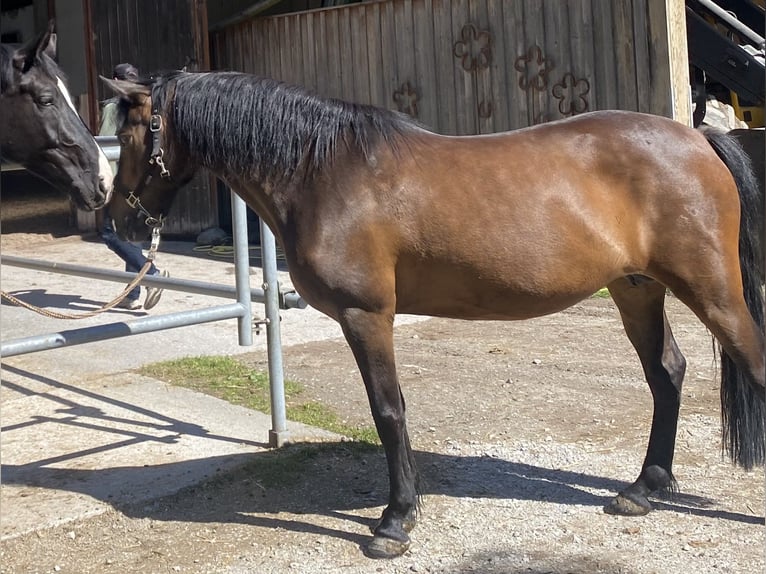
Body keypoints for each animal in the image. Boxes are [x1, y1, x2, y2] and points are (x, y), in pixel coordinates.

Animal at [103, 71, 765, 559]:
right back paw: (643, 489)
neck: (324, 172)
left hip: (710, 290)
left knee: (749, 364)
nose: (118, 218)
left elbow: (388, 412)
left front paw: (395, 522)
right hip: (636, 291)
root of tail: (699, 140)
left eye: (130, 134)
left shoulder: (366, 315)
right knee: (666, 374)